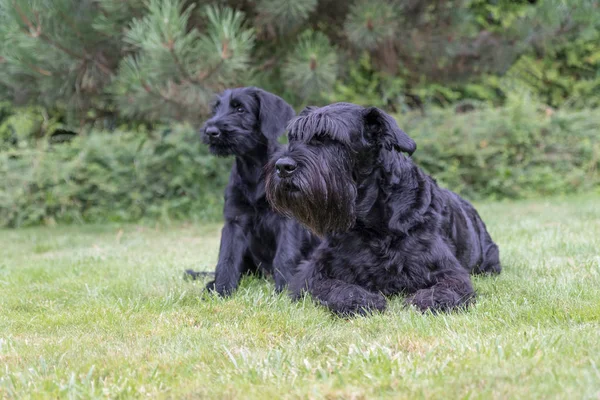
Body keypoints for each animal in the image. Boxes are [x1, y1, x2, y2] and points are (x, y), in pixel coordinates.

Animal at [188, 87, 318, 296]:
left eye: (240, 108)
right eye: (216, 109)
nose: (210, 132)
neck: (253, 168)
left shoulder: (287, 220)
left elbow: (285, 255)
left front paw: (285, 290)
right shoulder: (234, 220)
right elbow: (227, 257)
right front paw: (222, 290)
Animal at [268, 103, 502, 316]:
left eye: (328, 137)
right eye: (294, 137)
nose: (282, 166)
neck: (370, 221)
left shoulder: (447, 270)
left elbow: (447, 287)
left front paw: (427, 300)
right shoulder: (311, 272)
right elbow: (331, 286)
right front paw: (359, 300)